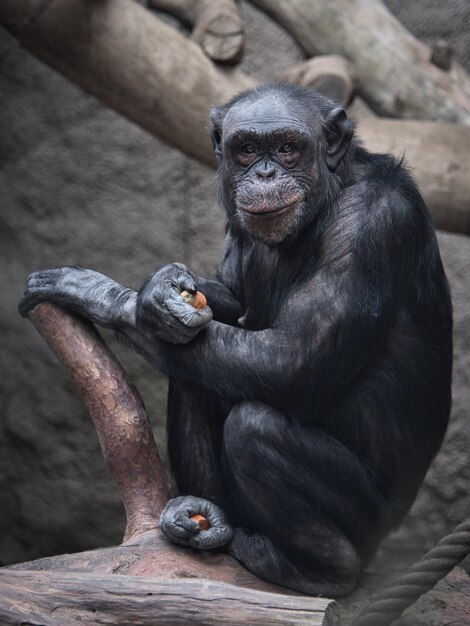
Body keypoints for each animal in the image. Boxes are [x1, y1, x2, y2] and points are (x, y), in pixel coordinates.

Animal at [20, 83, 454, 596]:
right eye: (246, 149)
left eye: (287, 148)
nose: (265, 173)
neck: (327, 198)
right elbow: (228, 295)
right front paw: (157, 292)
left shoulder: (375, 223)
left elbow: (291, 361)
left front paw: (103, 294)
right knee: (195, 372)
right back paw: (206, 514)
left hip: (371, 521)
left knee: (255, 426)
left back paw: (318, 569)